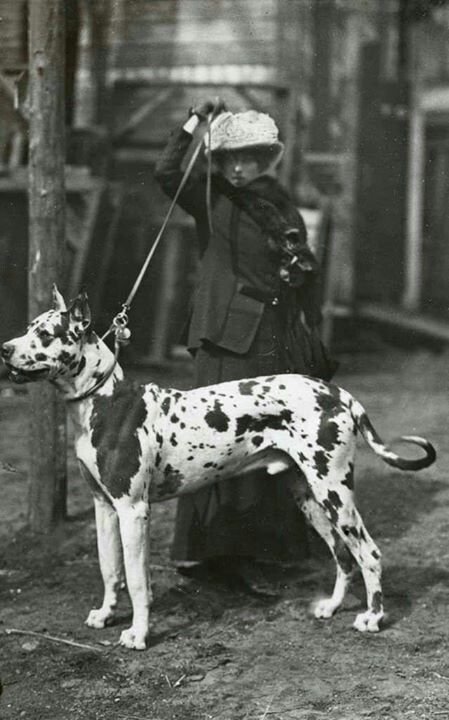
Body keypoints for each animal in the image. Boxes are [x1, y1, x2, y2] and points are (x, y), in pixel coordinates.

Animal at [0, 288, 434, 652]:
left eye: (45, 334)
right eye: (28, 328)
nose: (4, 348)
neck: (104, 400)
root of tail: (339, 393)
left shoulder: (133, 511)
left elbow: (137, 580)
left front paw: (138, 634)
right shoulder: (104, 507)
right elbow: (111, 569)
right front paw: (106, 615)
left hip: (335, 494)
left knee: (368, 552)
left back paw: (373, 617)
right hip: (310, 498)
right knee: (343, 556)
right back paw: (331, 606)